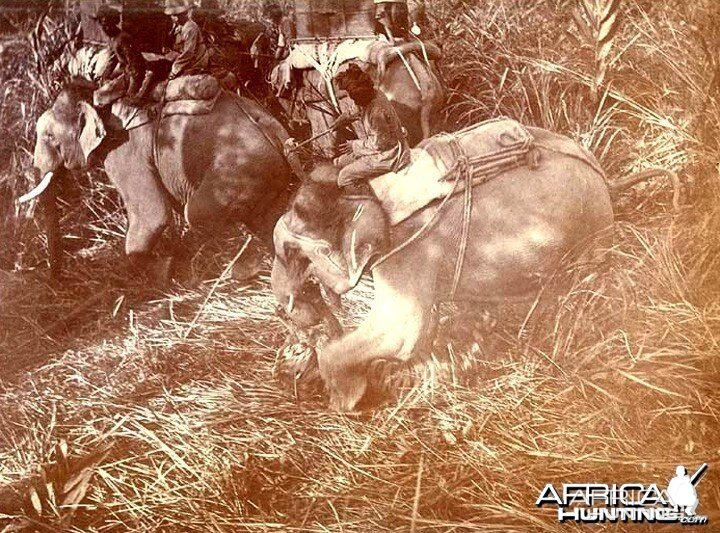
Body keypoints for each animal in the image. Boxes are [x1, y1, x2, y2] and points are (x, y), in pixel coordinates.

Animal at [21, 82, 294, 282]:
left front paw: (165, 271)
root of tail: (271, 125)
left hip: (240, 170)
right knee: (269, 221)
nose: (57, 280)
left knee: (198, 214)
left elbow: (153, 215)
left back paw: (241, 271)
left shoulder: (124, 152)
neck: (99, 100)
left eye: (49, 136)